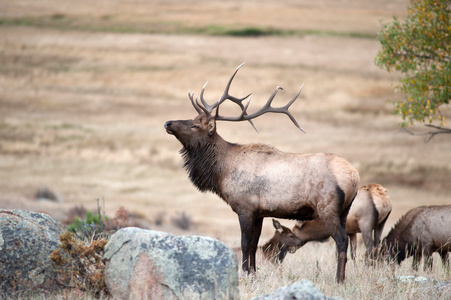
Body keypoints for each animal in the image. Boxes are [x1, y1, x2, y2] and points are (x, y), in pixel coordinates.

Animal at [165, 63, 360, 284]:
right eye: (192, 118)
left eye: (195, 125)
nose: (168, 123)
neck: (222, 173)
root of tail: (354, 176)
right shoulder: (259, 212)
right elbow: (253, 245)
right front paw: (253, 274)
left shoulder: (245, 208)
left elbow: (245, 243)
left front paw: (244, 275)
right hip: (344, 210)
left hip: (328, 207)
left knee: (341, 241)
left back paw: (339, 280)